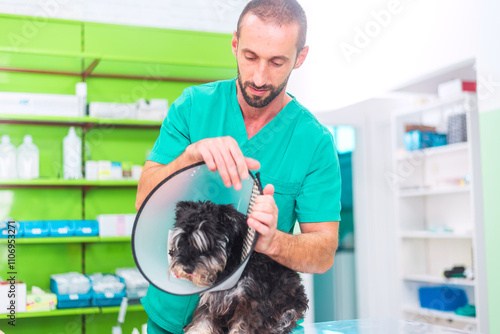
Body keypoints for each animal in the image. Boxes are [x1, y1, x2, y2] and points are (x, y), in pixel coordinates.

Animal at [169, 201, 308, 334]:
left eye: (207, 243)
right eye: (181, 242)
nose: (186, 268)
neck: (231, 265)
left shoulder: (251, 304)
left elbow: (242, 327)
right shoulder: (213, 300)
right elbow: (202, 322)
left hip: (291, 307)